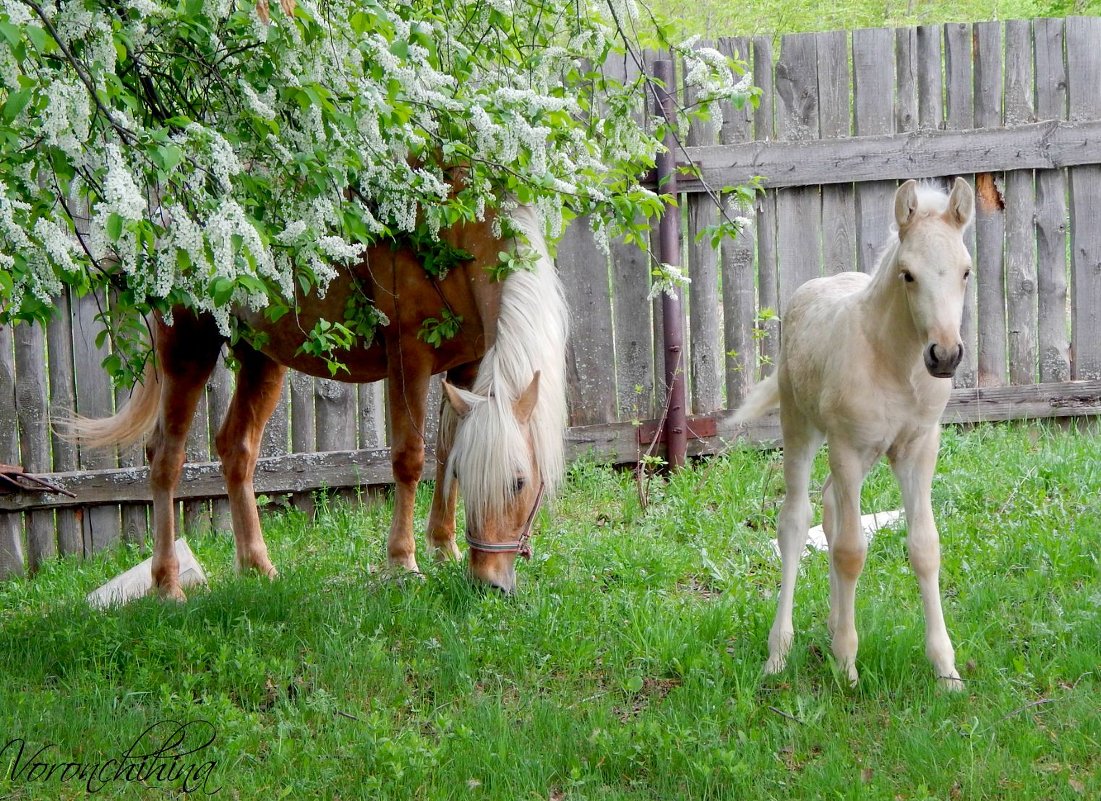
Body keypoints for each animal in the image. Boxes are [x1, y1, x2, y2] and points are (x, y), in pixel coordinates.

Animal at [68, 204, 568, 594]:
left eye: (520, 482)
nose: (490, 582)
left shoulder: (466, 363)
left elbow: (445, 454)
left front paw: (444, 548)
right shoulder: (408, 355)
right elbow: (410, 459)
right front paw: (402, 562)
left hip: (261, 358)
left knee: (236, 448)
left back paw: (258, 568)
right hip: (189, 349)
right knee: (165, 459)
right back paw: (168, 584)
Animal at [735, 180, 977, 686]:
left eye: (966, 271)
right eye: (908, 274)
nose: (944, 355)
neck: (895, 363)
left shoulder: (917, 448)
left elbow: (924, 547)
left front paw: (946, 672)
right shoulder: (846, 446)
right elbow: (850, 551)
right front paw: (847, 667)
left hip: (865, 454)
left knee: (829, 505)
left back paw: (830, 625)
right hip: (802, 427)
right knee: (795, 520)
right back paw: (778, 653)